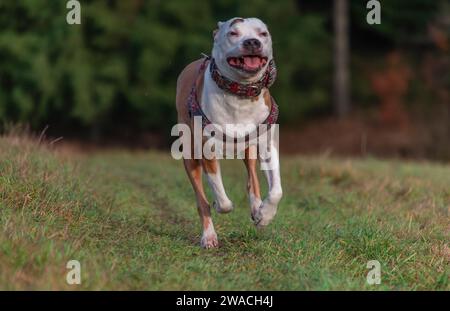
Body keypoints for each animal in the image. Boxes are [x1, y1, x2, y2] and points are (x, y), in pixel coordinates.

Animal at [175, 18, 282, 250]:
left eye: (263, 33)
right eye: (233, 33)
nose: (252, 42)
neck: (240, 92)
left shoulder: (267, 145)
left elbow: (277, 191)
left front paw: (265, 216)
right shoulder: (207, 151)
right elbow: (222, 199)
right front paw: (219, 204)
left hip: (249, 150)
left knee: (252, 179)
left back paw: (257, 209)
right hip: (189, 155)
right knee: (201, 200)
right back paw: (209, 236)